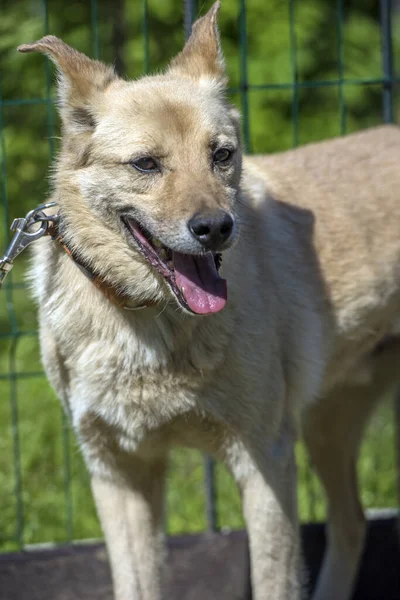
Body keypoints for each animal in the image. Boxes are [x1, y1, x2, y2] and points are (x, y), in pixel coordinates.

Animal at [18, 3, 400, 600]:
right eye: (146, 165)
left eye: (222, 156)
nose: (217, 228)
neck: (148, 321)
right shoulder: (118, 472)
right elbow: (137, 583)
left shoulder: (265, 458)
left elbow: (274, 580)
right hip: (326, 421)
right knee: (352, 522)